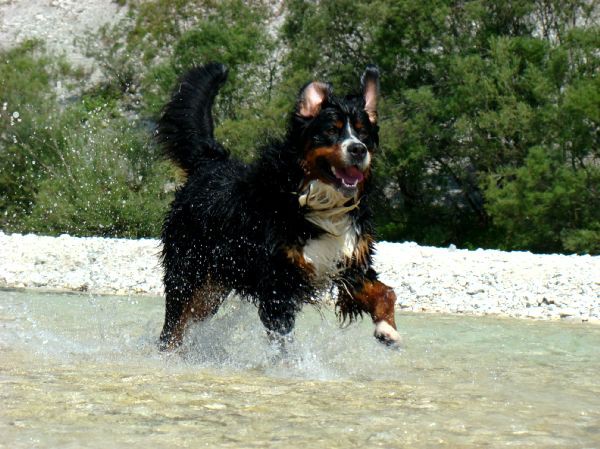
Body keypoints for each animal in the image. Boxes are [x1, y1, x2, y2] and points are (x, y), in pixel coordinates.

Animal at [157, 62, 400, 350]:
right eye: (331, 130)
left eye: (363, 132)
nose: (358, 149)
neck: (316, 203)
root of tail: (209, 162)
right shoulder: (278, 284)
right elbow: (283, 340)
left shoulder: (349, 263)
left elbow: (385, 292)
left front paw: (387, 330)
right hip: (187, 273)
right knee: (173, 329)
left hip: (211, 287)